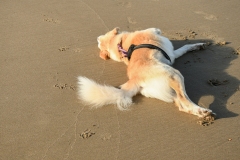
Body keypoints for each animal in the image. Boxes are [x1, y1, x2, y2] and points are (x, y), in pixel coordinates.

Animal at [78, 27, 217, 119]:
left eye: (99, 42)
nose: (96, 37)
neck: (120, 45)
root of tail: (135, 80)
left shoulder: (172, 54)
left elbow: (184, 48)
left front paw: (197, 45)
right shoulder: (153, 34)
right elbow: (155, 29)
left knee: (182, 105)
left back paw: (201, 113)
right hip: (175, 75)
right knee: (184, 100)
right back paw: (202, 111)